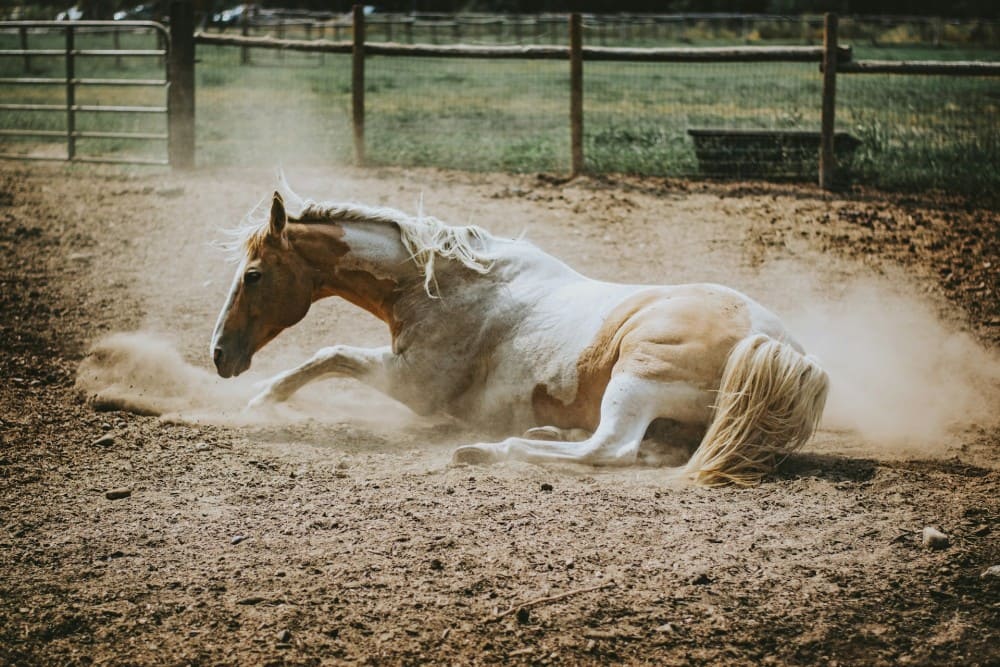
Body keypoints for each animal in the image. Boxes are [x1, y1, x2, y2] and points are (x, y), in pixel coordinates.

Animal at [210, 185, 829, 486]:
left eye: (253, 275)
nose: (219, 355)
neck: (443, 284)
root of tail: (778, 346)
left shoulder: (412, 386)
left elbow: (328, 353)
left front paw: (259, 402)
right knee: (642, 448)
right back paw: (543, 431)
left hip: (636, 379)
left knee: (612, 447)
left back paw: (489, 450)